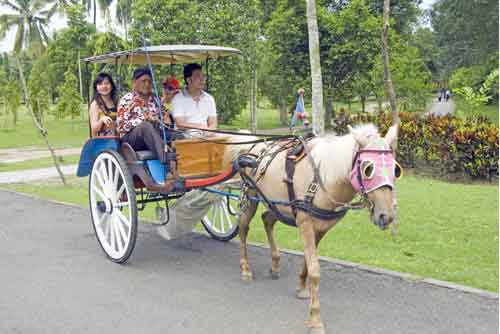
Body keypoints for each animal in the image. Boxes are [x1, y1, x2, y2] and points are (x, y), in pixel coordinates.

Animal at [225, 124, 400, 334]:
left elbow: (308, 262)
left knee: (267, 220)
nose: (387, 215)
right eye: (368, 169)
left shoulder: (321, 228)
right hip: (251, 196)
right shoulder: (305, 223)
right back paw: (245, 268)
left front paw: (302, 287)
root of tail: (255, 148)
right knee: (244, 227)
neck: (324, 178)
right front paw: (315, 320)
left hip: (278, 204)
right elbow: (315, 271)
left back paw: (275, 263)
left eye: (395, 169)